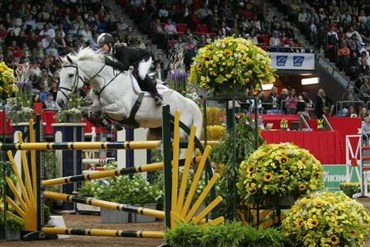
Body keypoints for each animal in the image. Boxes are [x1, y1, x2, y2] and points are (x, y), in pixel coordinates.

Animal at [56, 47, 204, 140]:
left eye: (70, 75)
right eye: (59, 76)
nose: (59, 101)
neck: (104, 81)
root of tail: (188, 102)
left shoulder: (122, 110)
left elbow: (100, 109)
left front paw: (108, 123)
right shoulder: (97, 104)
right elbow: (86, 110)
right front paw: (105, 123)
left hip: (182, 131)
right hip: (155, 132)